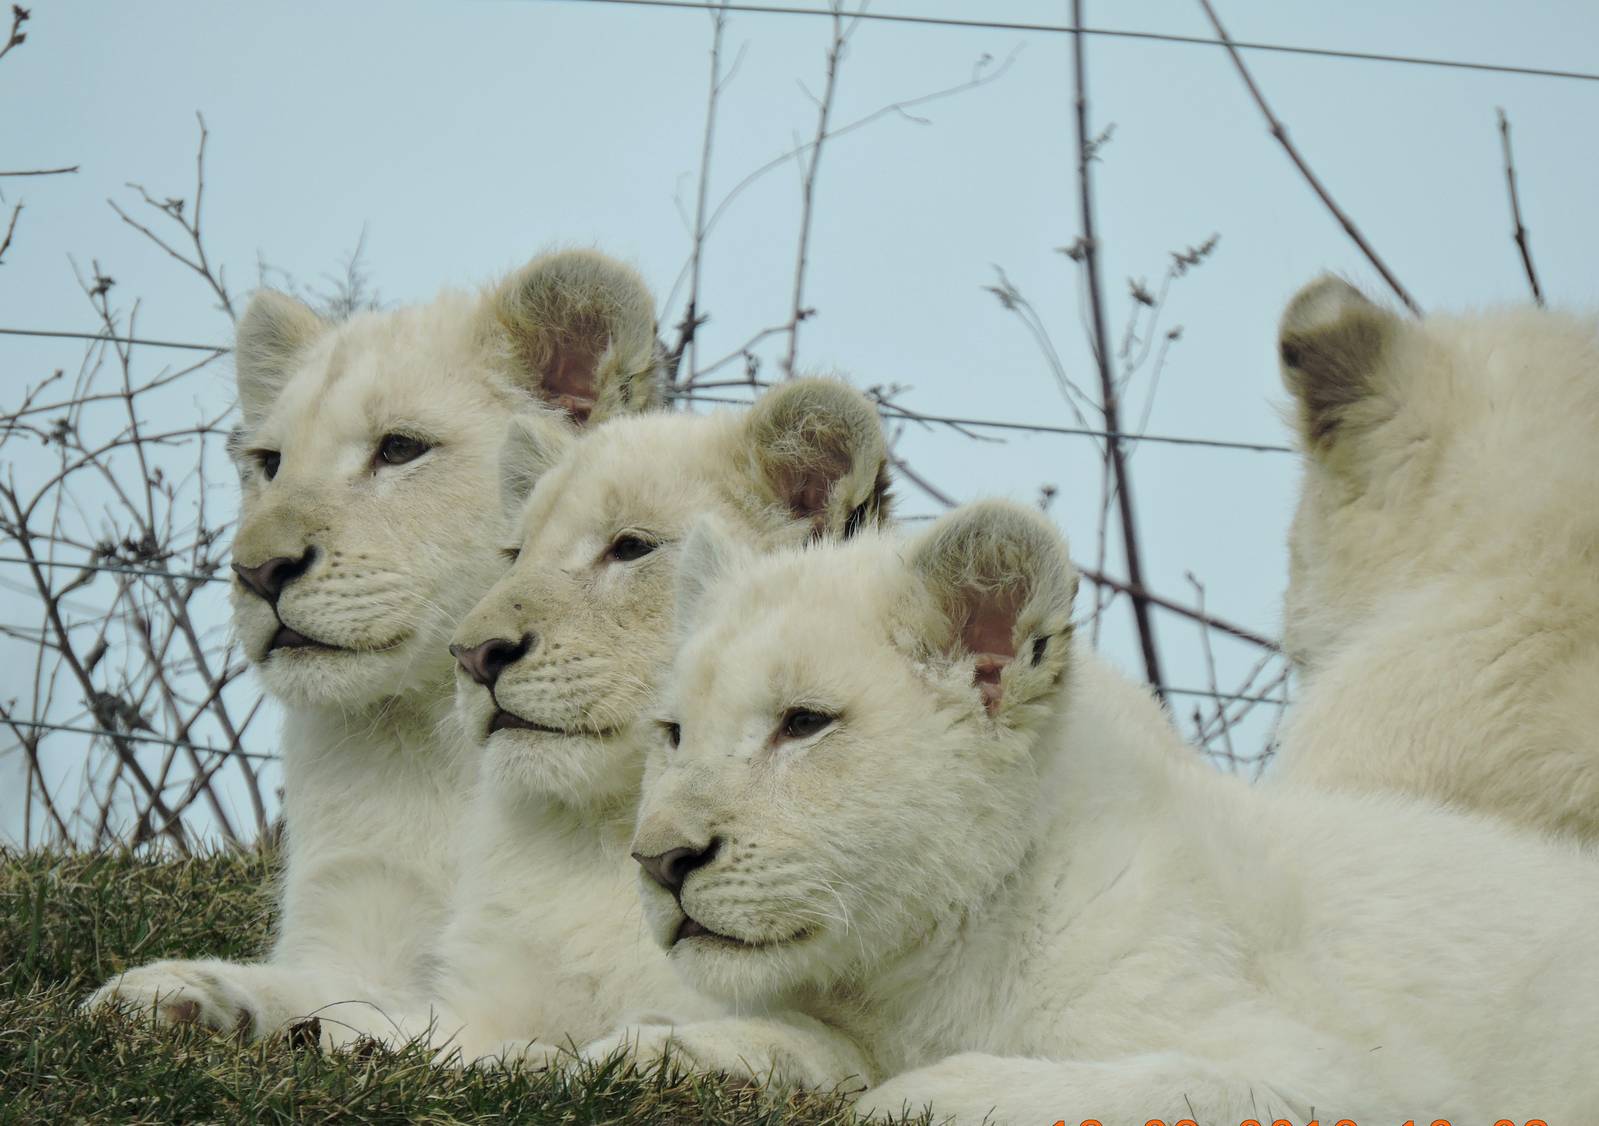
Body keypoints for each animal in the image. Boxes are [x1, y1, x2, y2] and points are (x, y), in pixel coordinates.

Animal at [84, 249, 662, 1038]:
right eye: (270, 462)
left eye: (399, 449)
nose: (257, 572)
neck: (448, 743)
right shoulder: (364, 928)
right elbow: (323, 997)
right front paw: (165, 993)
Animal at [587, 499, 1599, 1123]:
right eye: (673, 732)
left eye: (804, 722)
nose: (659, 860)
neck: (932, 964)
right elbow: (778, 1043)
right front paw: (637, 1047)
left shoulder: (1359, 1076)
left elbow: (1158, 1087)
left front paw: (917, 1098)